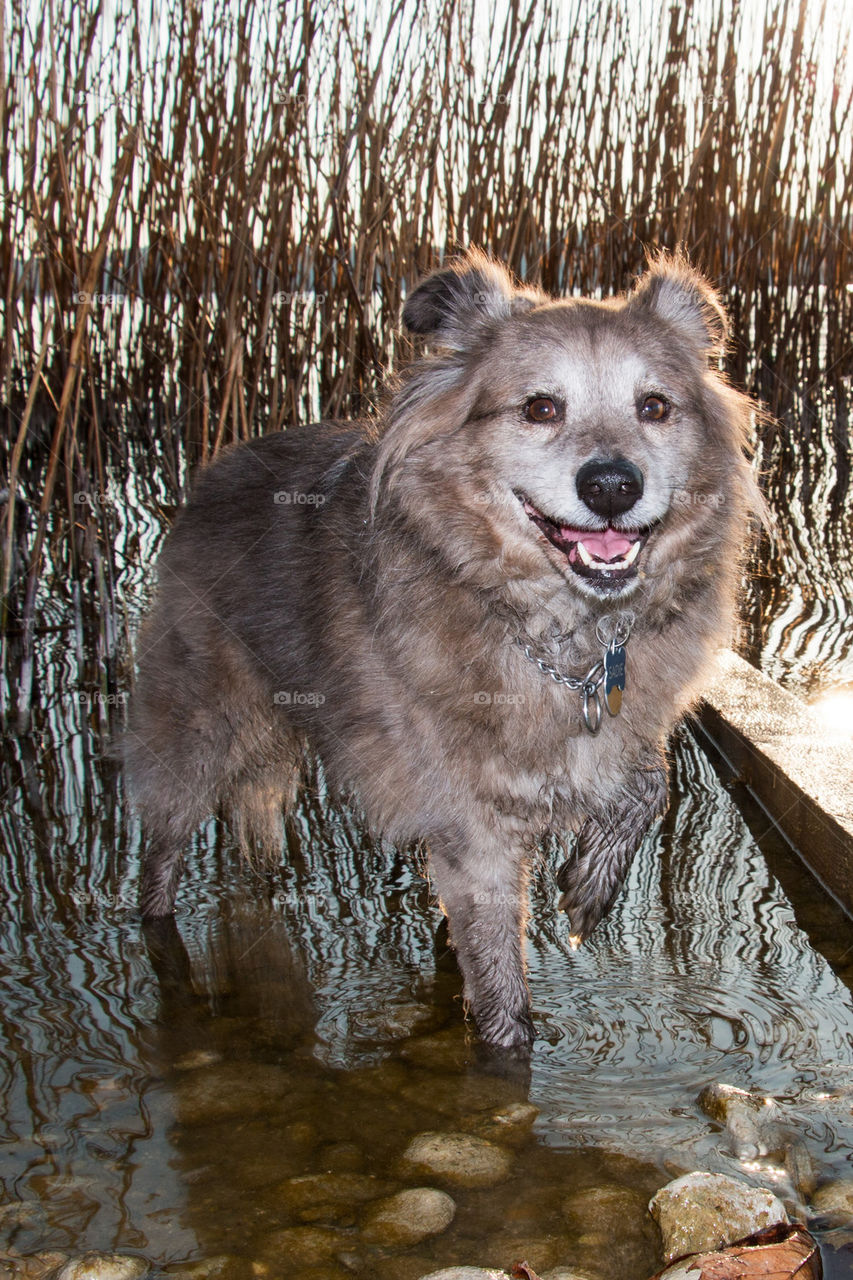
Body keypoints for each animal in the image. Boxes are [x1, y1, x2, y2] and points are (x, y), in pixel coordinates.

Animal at [124, 249, 753, 1049]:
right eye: (540, 408)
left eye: (655, 407)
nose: (612, 485)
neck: (558, 636)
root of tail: (220, 465)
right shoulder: (472, 832)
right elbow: (505, 1002)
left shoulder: (601, 736)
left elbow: (648, 779)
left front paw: (592, 880)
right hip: (197, 730)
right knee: (160, 855)